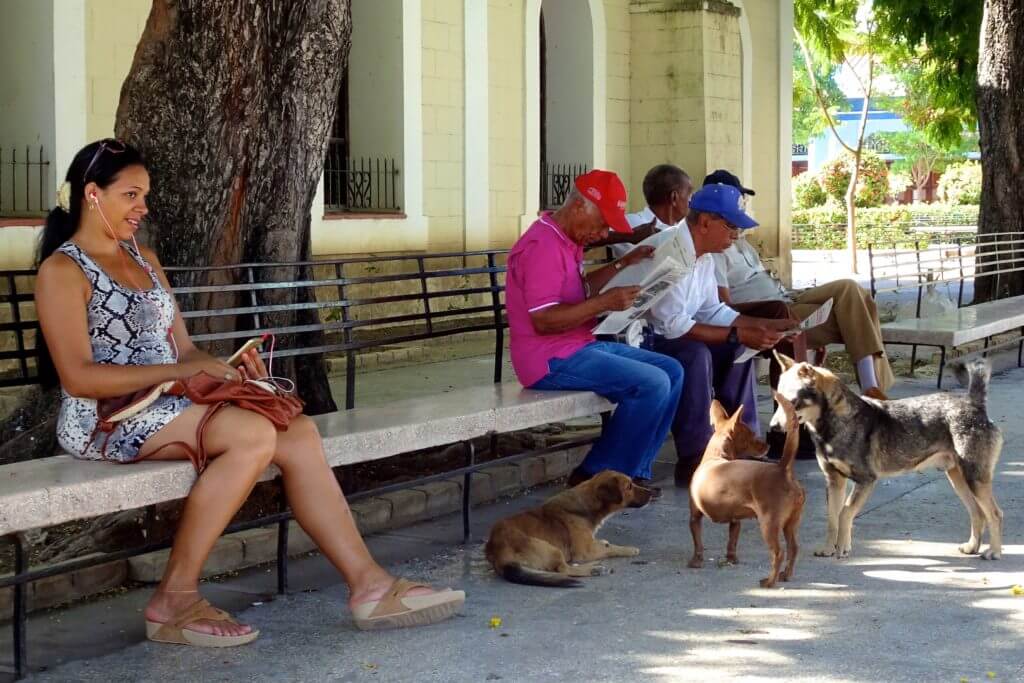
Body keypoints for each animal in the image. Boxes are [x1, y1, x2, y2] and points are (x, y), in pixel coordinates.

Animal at [485, 471, 647, 589]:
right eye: (629, 486)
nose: (652, 492)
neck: (587, 504)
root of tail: (497, 553)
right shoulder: (585, 551)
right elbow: (611, 549)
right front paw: (629, 549)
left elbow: (605, 544)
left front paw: (604, 542)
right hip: (549, 548)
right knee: (564, 569)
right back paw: (594, 569)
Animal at [688, 395, 806, 589]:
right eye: (751, 435)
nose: (767, 444)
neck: (716, 456)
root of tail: (782, 468)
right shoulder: (735, 520)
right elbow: (732, 542)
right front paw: (731, 559)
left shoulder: (695, 516)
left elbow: (697, 543)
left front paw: (695, 562)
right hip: (790, 523)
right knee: (793, 548)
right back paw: (786, 575)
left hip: (768, 524)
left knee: (778, 553)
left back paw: (769, 581)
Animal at [770, 352, 999, 561]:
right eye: (777, 400)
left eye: (792, 402)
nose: (773, 428)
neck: (839, 421)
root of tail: (974, 403)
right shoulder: (834, 481)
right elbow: (832, 519)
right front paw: (828, 548)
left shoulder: (865, 480)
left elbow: (845, 513)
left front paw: (842, 548)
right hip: (958, 479)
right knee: (978, 513)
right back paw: (972, 547)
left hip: (974, 479)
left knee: (995, 514)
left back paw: (994, 552)